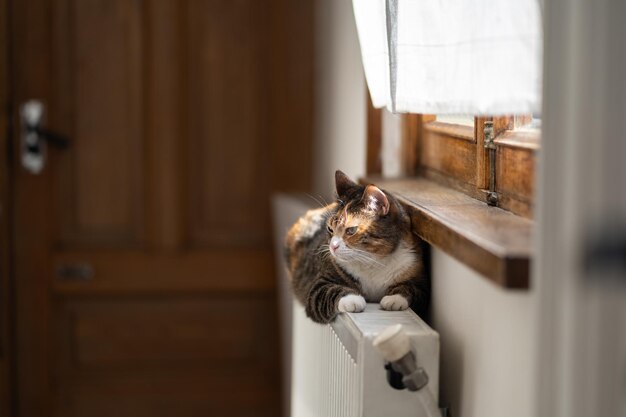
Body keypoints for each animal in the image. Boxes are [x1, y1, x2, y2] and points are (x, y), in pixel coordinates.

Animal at [284, 169, 426, 322]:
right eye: (330, 229)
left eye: (351, 230)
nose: (332, 247)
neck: (373, 261)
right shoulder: (318, 285)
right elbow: (326, 291)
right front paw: (352, 300)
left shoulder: (416, 269)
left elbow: (413, 288)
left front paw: (395, 299)